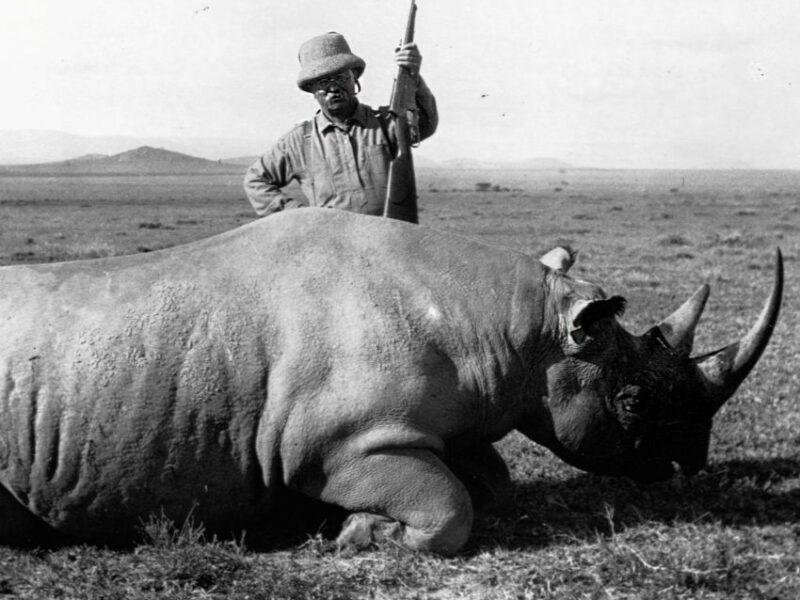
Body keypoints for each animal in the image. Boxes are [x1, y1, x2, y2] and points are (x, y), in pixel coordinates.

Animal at [0, 208, 783, 554]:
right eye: (633, 400)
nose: (690, 464)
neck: (522, 330)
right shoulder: (340, 445)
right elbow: (452, 508)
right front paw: (356, 533)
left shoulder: (443, 422)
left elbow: (491, 482)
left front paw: (346, 525)